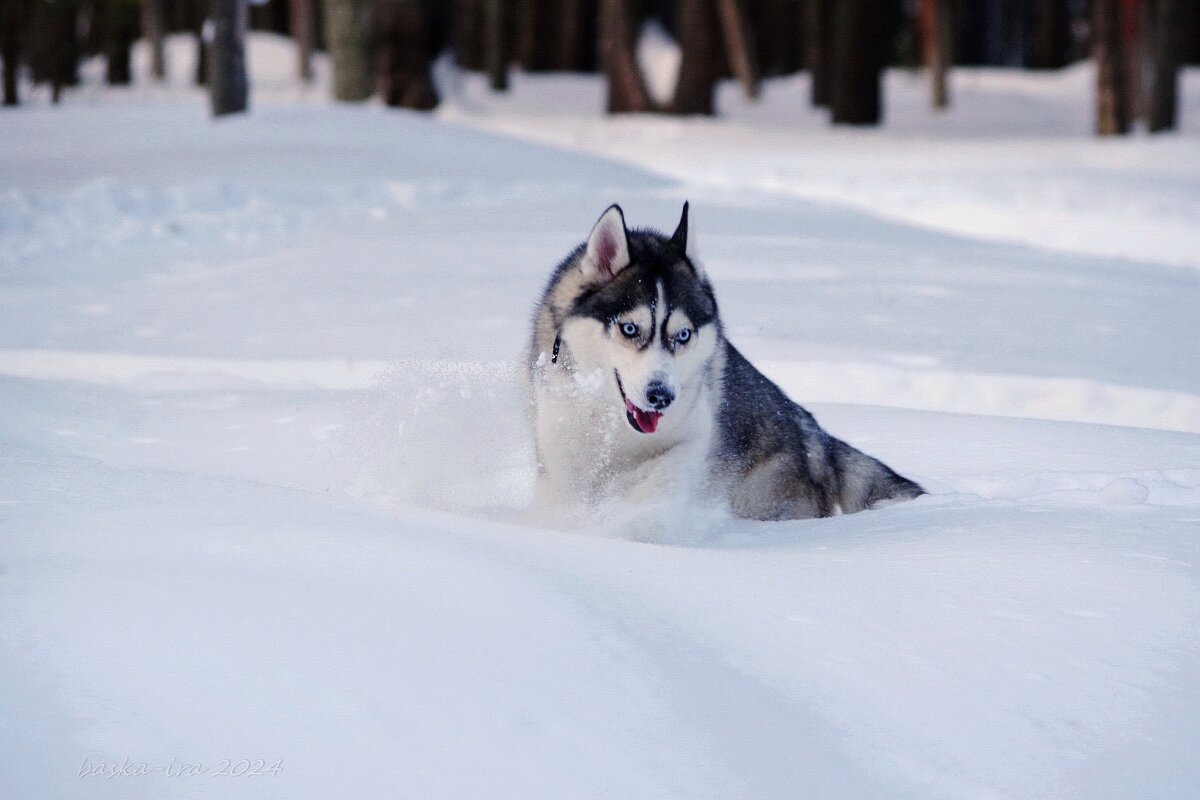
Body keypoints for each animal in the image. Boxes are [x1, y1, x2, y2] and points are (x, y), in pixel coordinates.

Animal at [523, 203, 916, 522]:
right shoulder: (561, 442)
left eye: (683, 335)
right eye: (630, 328)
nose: (661, 396)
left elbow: (663, 476)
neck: (617, 424)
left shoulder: (694, 437)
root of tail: (814, 437)